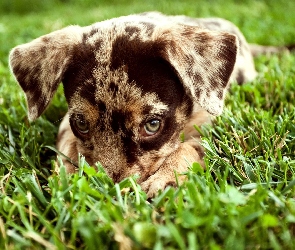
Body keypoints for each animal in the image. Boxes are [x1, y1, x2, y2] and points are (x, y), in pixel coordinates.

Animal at [8, 11, 260, 196]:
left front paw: (166, 178)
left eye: (152, 125)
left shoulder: (210, 122)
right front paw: (67, 177)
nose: (113, 190)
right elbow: (69, 146)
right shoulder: (66, 127)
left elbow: (190, 146)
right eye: (81, 124)